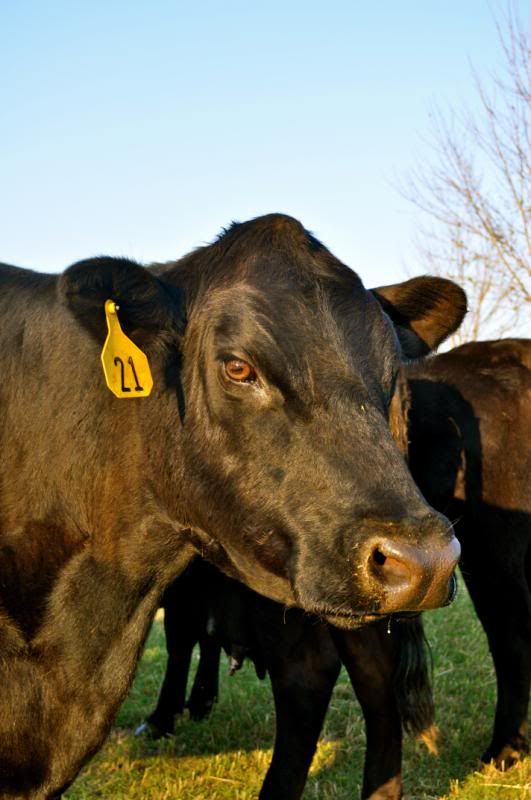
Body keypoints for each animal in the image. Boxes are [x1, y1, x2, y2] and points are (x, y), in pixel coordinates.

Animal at [143, 338, 530, 799]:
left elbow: (183, 635)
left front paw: (165, 716)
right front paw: (197, 701)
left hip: (489, 555)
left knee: (508, 642)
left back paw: (503, 750)